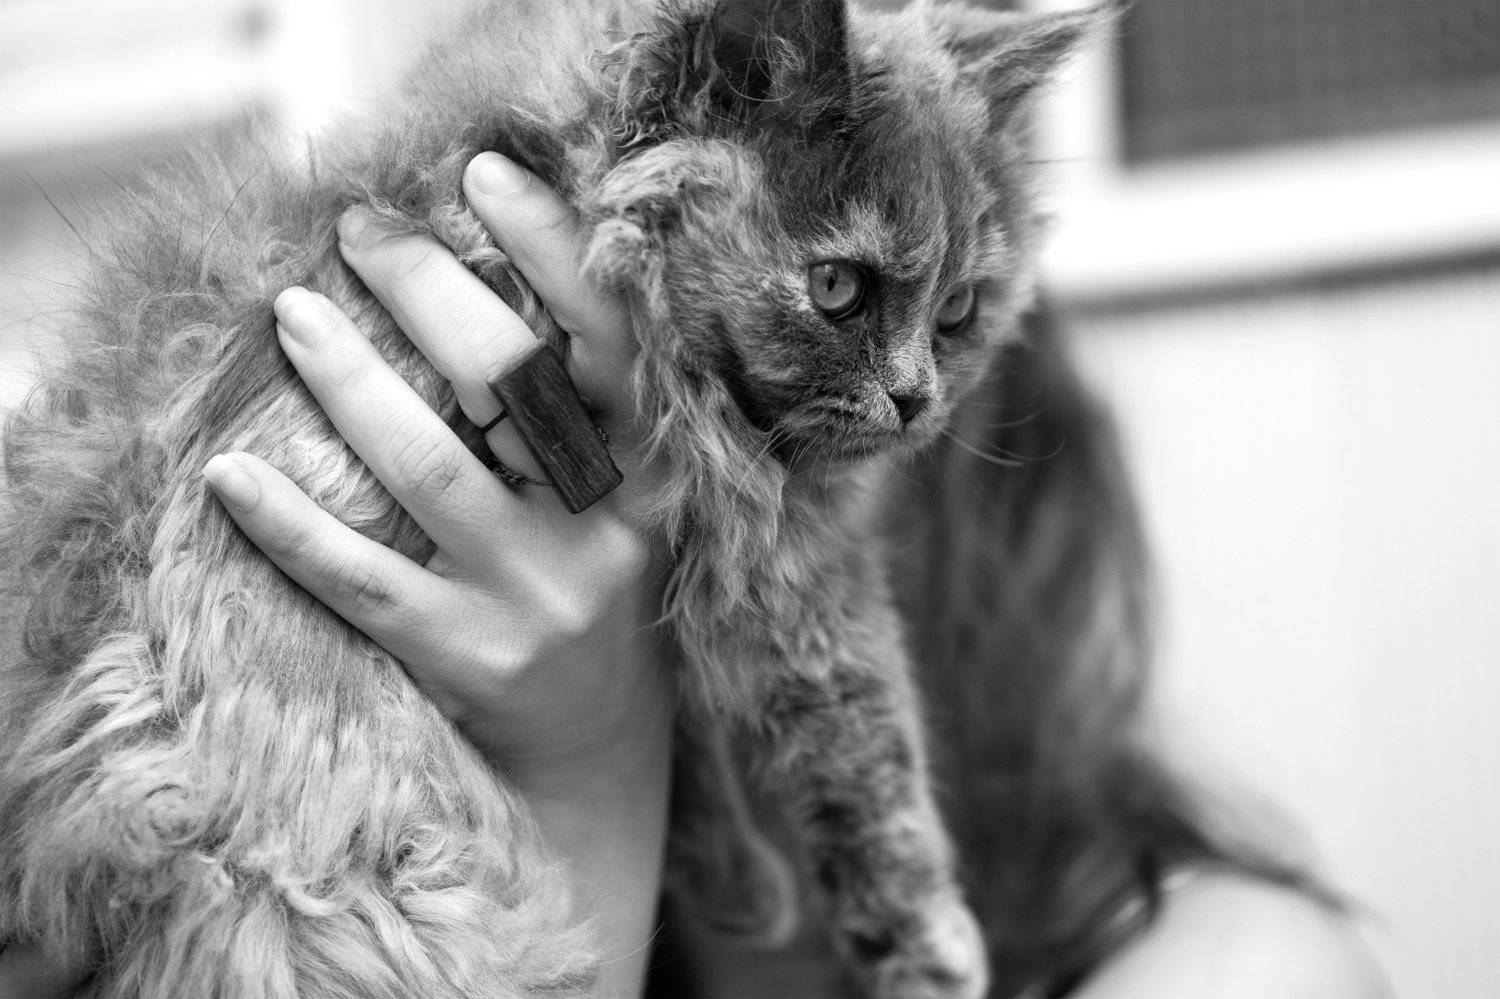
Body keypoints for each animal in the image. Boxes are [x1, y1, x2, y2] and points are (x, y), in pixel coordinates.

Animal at [0, 0, 1105, 996]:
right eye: (839, 289)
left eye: (958, 310)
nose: (918, 398)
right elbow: (863, 726)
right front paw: (927, 935)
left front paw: (734, 872)